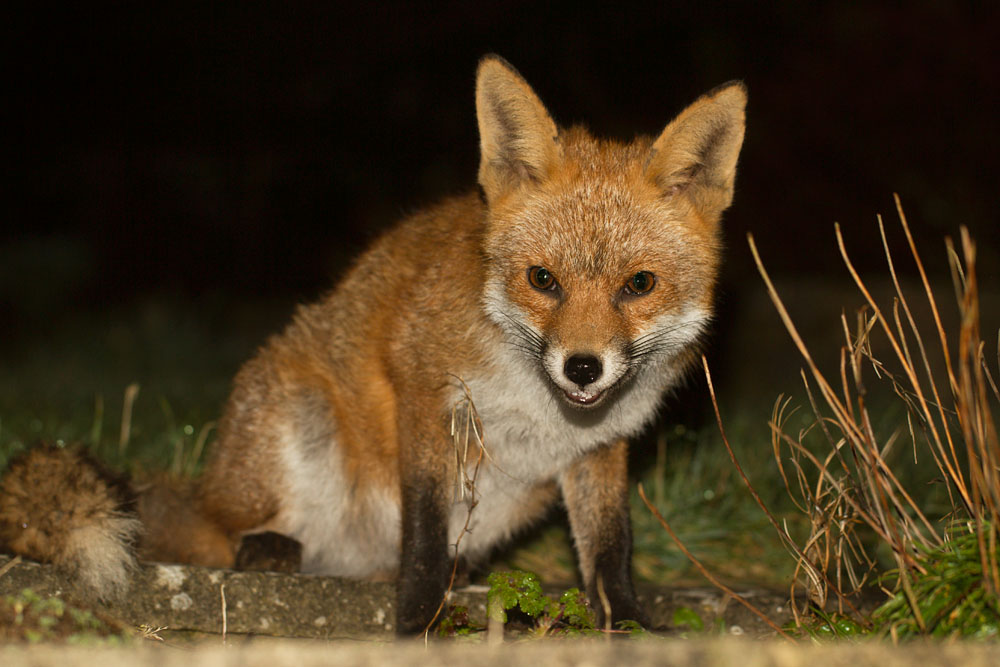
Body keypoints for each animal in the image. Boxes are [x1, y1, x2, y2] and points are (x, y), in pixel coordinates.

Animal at [0, 56, 745, 633]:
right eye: (543, 280)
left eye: (639, 285)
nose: (583, 368)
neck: (538, 403)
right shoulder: (425, 389)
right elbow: (424, 528)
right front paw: (416, 617)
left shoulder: (599, 448)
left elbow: (611, 548)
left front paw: (627, 622)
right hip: (294, 424)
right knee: (218, 535)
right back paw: (265, 548)